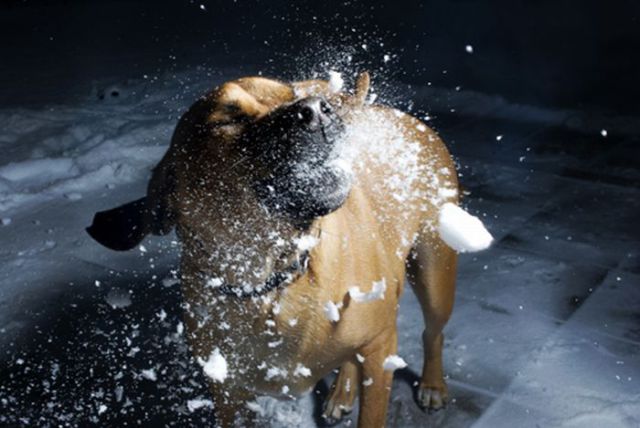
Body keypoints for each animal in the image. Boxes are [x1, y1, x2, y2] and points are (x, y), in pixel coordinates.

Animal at [89, 72, 460, 426]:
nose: (318, 109)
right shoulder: (229, 393)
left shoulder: (380, 350)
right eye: (228, 119)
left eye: (293, 95)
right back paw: (342, 393)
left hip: (434, 275)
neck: (271, 279)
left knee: (433, 334)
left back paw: (432, 385)